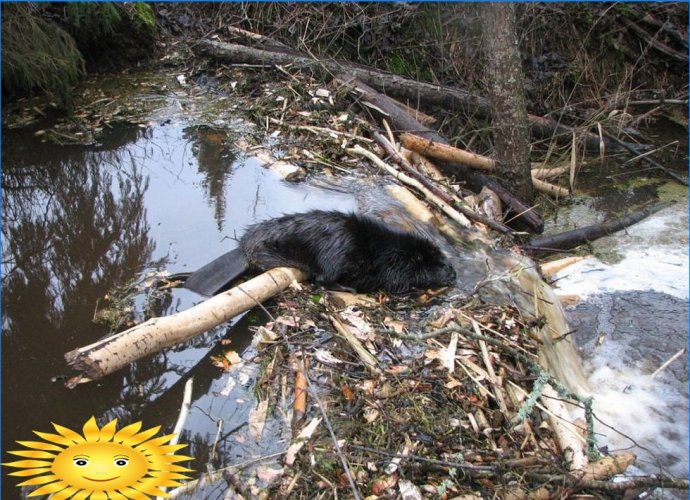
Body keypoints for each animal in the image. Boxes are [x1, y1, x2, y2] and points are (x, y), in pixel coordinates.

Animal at [181, 209, 456, 294]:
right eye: (437, 263)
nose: (453, 274)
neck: (398, 250)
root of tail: (243, 251)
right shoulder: (393, 266)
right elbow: (397, 284)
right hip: (338, 251)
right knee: (325, 279)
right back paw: (347, 288)